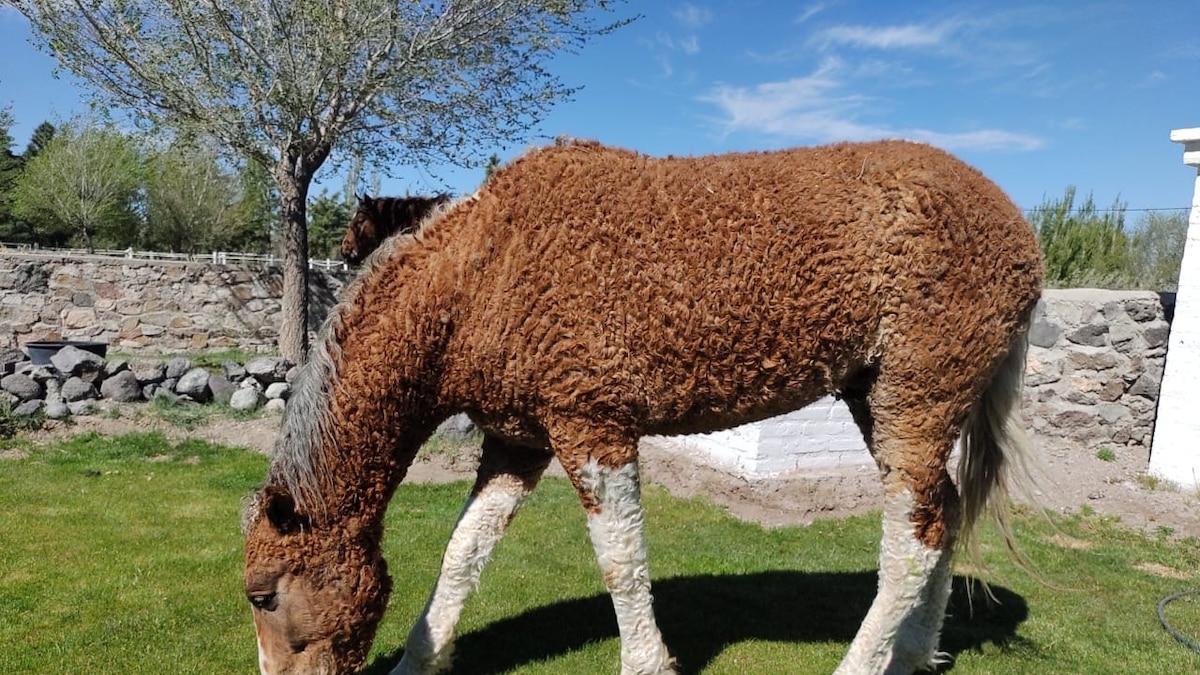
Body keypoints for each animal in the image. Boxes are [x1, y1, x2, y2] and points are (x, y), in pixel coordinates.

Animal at [243, 138, 1043, 675]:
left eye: (262, 596)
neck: (480, 275)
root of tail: (1019, 230)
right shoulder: (517, 443)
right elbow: (464, 550)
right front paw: (421, 657)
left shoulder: (592, 427)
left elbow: (621, 559)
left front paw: (645, 661)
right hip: (877, 396)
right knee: (941, 517)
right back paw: (913, 654)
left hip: (916, 393)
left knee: (914, 534)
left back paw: (865, 662)